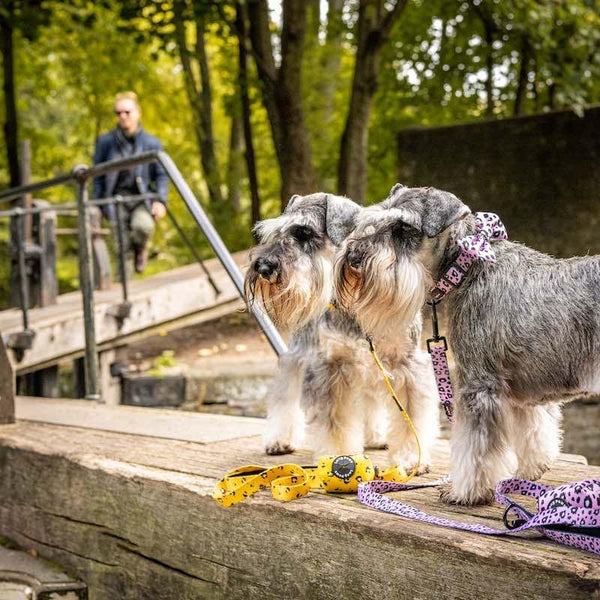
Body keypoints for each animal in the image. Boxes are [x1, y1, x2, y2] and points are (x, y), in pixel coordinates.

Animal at [246, 192, 438, 468]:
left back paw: (376, 436)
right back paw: (279, 439)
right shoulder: (331, 367)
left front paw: (412, 458)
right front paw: (339, 456)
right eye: (272, 233)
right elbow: (334, 422)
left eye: (304, 232)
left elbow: (410, 416)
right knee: (286, 396)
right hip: (299, 356)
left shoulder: (406, 363)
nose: (263, 268)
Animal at [338, 185, 600, 504]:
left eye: (403, 228)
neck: (468, 267)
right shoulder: (522, 390)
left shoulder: (479, 384)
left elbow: (474, 450)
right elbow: (534, 431)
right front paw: (529, 471)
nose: (353, 255)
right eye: (372, 221)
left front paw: (464, 491)